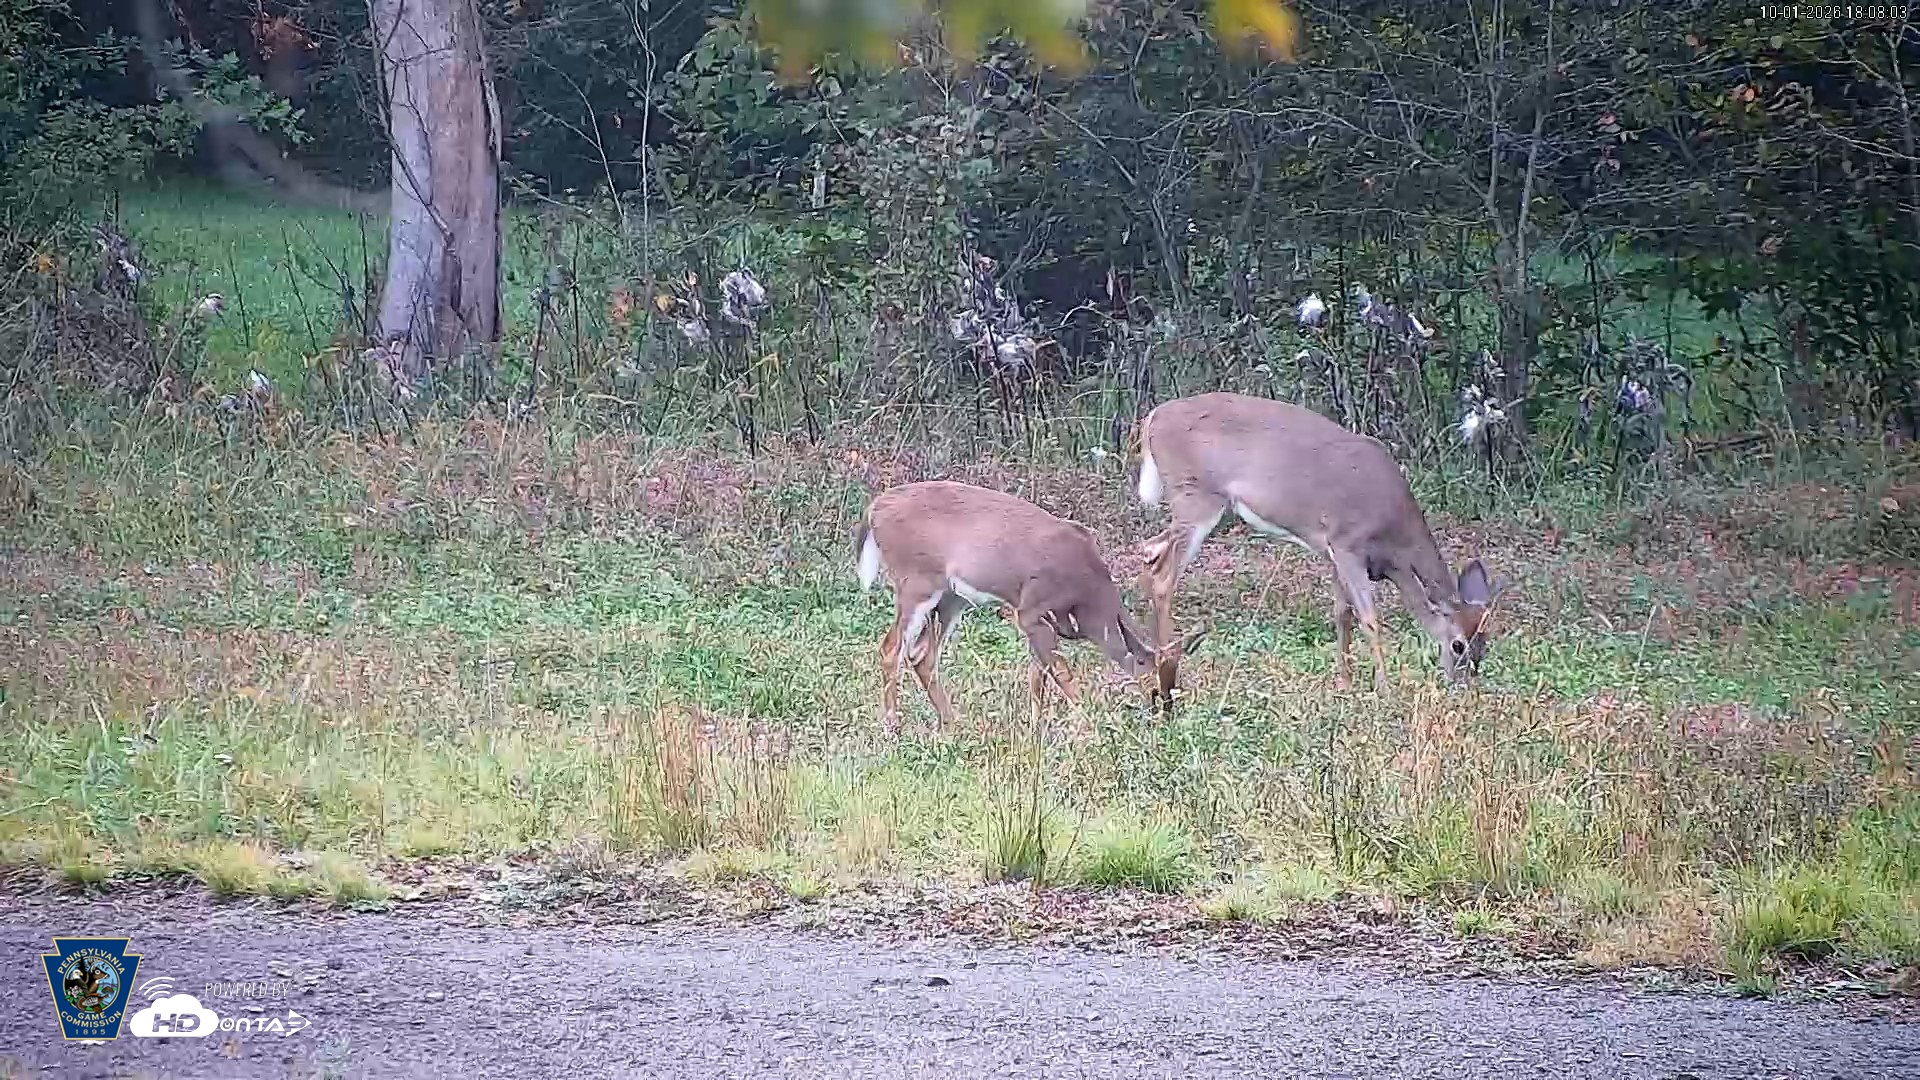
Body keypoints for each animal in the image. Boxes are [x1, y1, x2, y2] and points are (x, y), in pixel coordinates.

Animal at [855, 480, 1202, 732]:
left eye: (1176, 685)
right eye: (1157, 687)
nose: (1166, 718)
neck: (1088, 595)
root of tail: (874, 510)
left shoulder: (1043, 620)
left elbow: (1039, 675)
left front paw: (1036, 726)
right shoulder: (1030, 609)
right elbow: (1060, 672)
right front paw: (1088, 723)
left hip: (951, 597)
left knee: (921, 654)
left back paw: (953, 722)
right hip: (915, 581)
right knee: (891, 648)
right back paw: (892, 726)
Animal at [1133, 392, 1509, 696]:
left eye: (1485, 643)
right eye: (1458, 645)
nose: (1463, 685)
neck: (1394, 544)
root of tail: (1152, 418)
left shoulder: (1331, 550)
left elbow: (1342, 613)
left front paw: (1345, 681)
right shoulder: (1347, 543)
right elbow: (1369, 617)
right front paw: (1384, 687)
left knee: (1151, 550)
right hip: (1196, 495)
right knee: (1165, 573)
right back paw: (1168, 662)